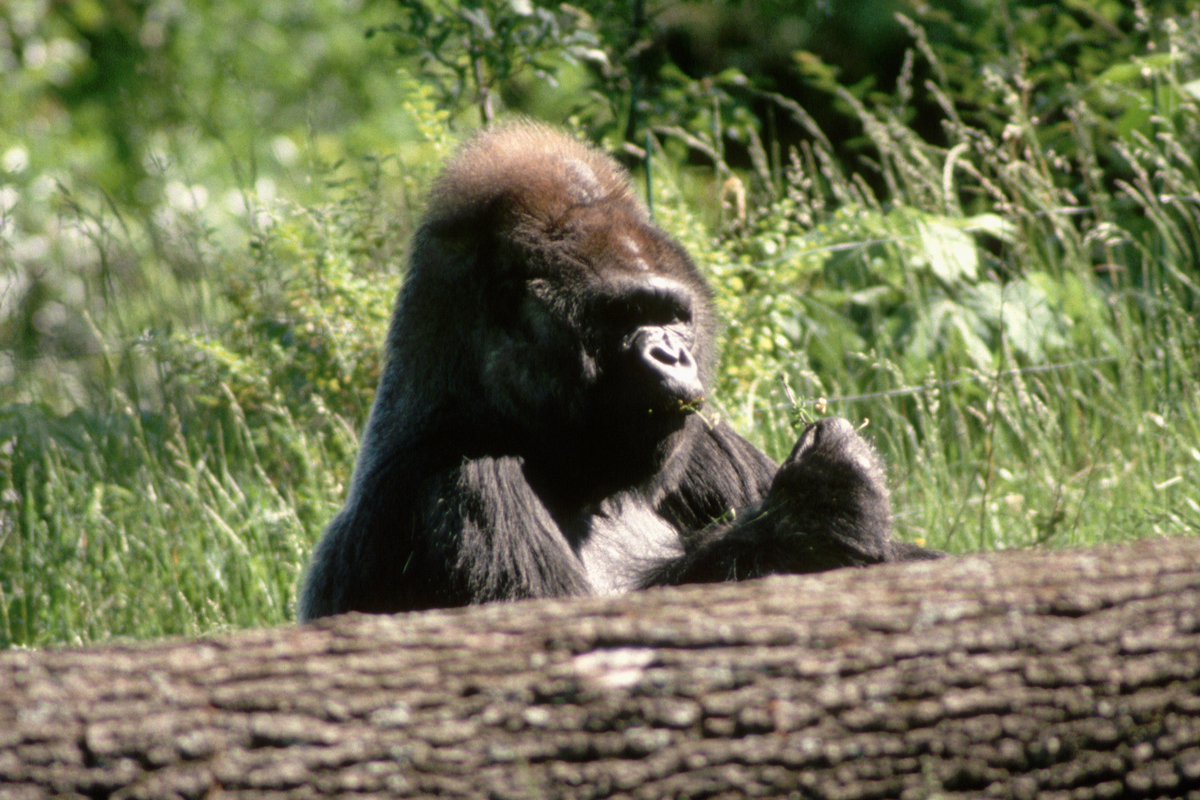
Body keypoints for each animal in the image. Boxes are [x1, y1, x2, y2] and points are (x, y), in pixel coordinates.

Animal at [298, 122, 940, 621]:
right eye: (626, 315)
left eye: (673, 316)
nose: (672, 356)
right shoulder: (458, 483)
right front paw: (817, 507)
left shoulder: (703, 439)